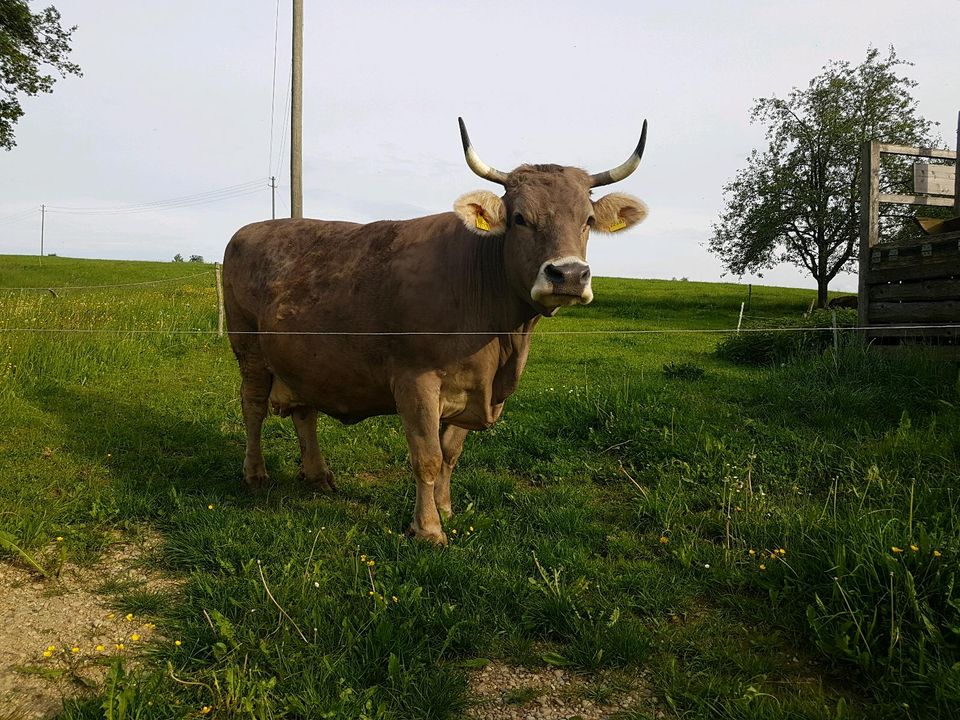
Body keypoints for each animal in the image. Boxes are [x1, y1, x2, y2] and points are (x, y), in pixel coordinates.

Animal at [221, 118, 648, 544]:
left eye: (587, 220)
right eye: (520, 219)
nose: (569, 274)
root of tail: (250, 230)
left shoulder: (470, 388)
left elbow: (450, 455)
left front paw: (445, 508)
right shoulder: (416, 381)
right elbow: (427, 457)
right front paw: (427, 528)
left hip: (302, 359)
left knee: (304, 412)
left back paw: (317, 475)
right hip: (249, 350)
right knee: (253, 407)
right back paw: (255, 474)